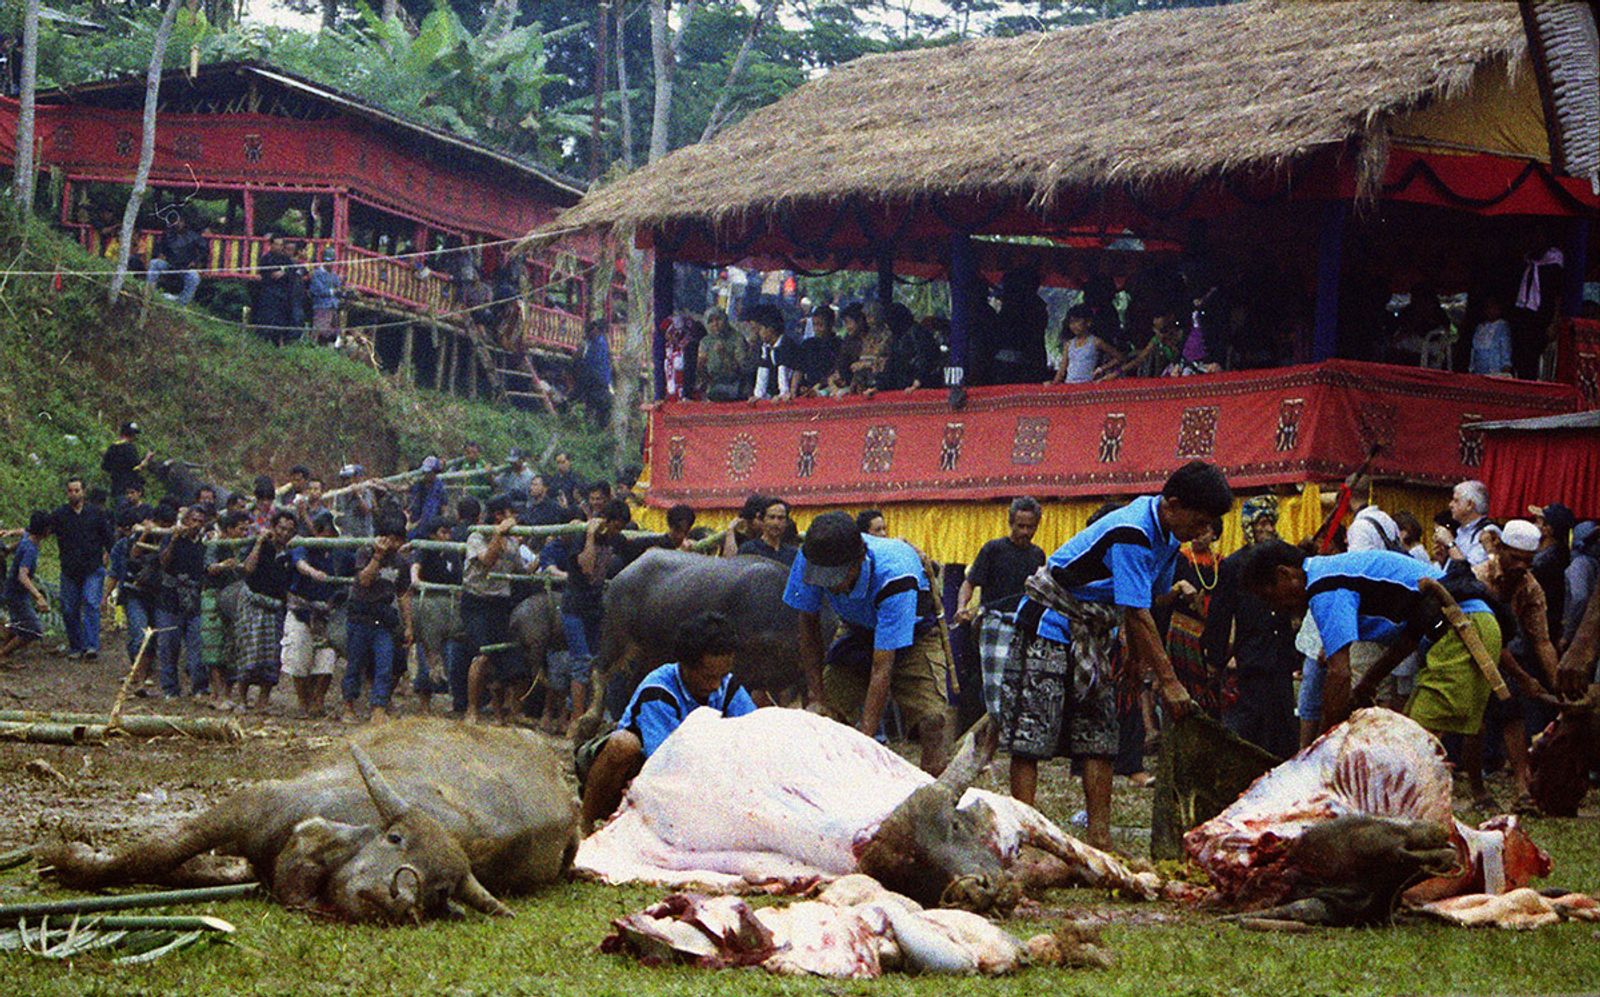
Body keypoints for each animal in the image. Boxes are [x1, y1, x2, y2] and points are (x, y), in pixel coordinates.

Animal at [39, 716, 582, 921]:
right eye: (395, 838)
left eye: (441, 889)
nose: (399, 895)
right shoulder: (247, 806)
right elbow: (152, 853)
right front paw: (70, 856)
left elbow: (174, 866)